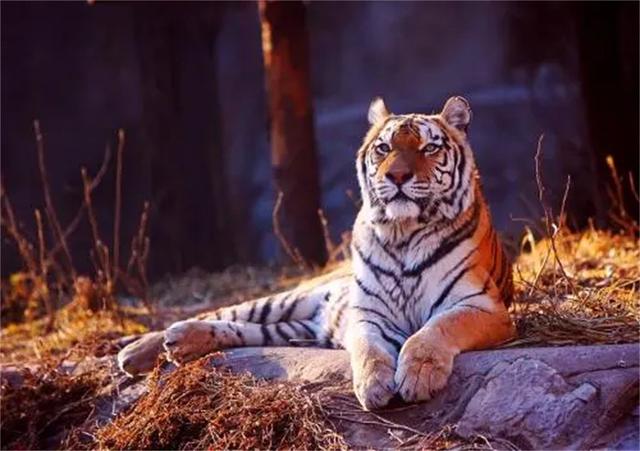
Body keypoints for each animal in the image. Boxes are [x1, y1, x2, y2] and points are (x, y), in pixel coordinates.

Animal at [117, 96, 515, 410]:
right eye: (384, 148)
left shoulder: (480, 305)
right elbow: (370, 349)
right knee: (222, 312)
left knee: (240, 329)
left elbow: (433, 331)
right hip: (288, 299)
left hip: (294, 327)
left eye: (429, 148)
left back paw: (177, 345)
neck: (404, 233)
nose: (397, 176)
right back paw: (140, 349)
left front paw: (418, 376)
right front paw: (373, 386)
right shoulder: (368, 313)